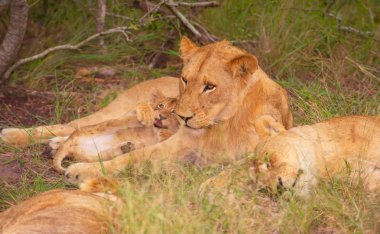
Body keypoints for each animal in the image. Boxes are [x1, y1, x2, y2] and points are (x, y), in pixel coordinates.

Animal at [63, 36, 292, 183]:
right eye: (185, 79)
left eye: (210, 86)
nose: (182, 117)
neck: (221, 125)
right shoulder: (179, 143)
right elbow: (134, 156)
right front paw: (82, 170)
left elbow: (236, 168)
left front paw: (210, 186)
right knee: (71, 127)